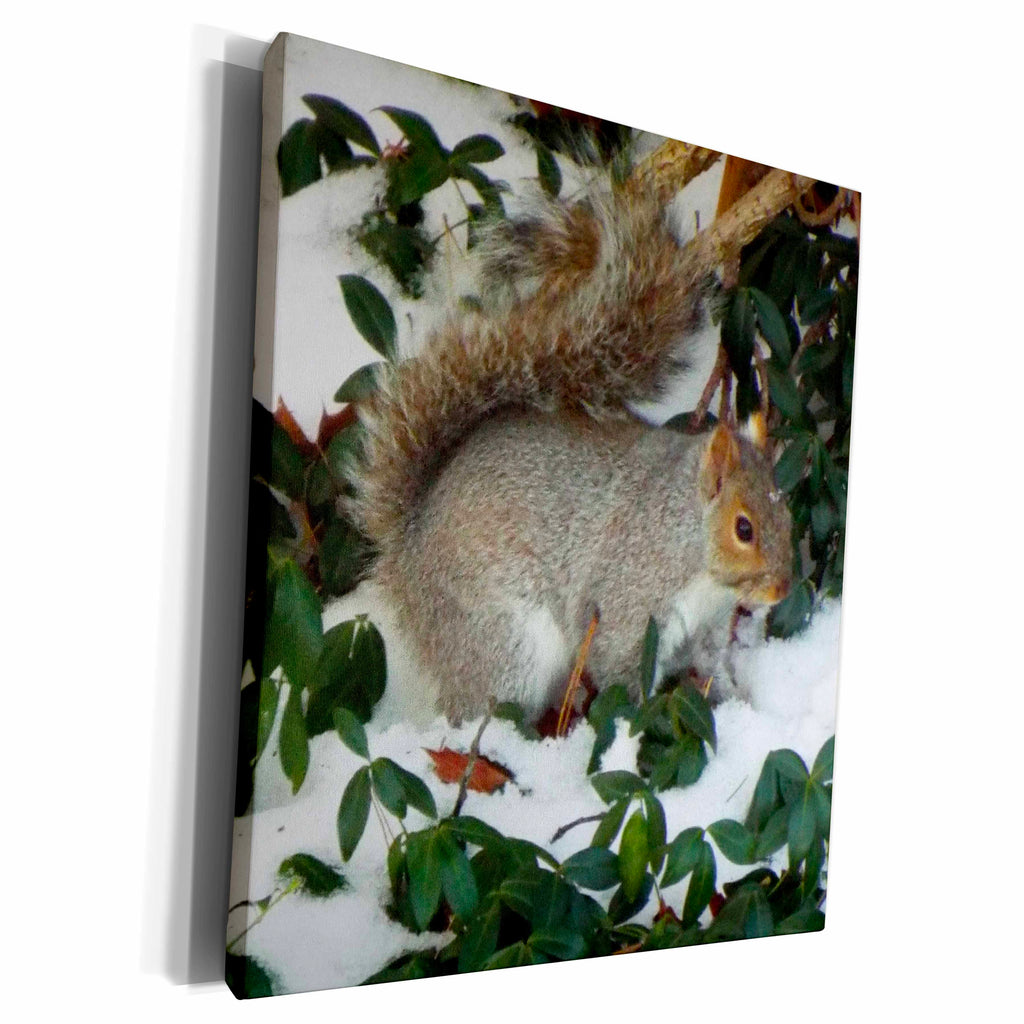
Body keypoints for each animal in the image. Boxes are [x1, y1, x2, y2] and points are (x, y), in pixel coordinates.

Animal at [344, 180, 793, 724]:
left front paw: (729, 697)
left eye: (787, 512)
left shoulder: (701, 630)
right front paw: (642, 719)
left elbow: (706, 665)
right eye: (743, 529)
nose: (783, 589)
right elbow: (620, 669)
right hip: (503, 640)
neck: (687, 538)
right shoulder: (627, 603)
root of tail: (408, 547)